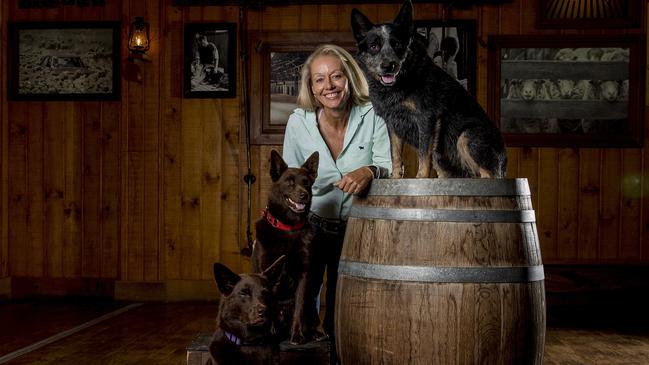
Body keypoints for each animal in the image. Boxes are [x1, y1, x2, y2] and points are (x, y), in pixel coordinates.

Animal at [252, 150, 324, 344]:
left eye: (306, 183)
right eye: (289, 182)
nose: (304, 195)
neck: (288, 228)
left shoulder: (303, 275)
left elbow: (299, 308)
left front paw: (297, 335)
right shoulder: (264, 269)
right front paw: (269, 334)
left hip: (310, 302)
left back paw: (314, 333)